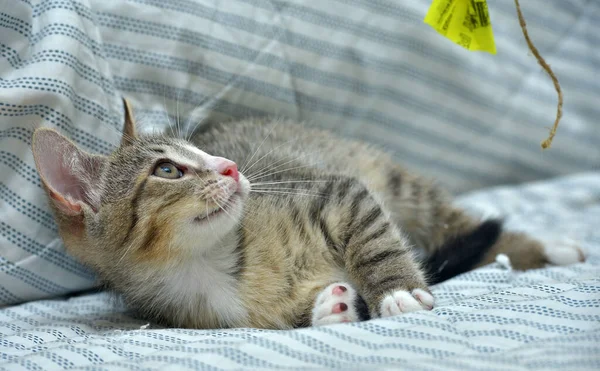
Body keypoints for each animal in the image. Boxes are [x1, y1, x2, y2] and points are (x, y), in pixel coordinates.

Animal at [30, 100, 584, 330]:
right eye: (168, 169)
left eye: (201, 151)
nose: (231, 166)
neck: (208, 263)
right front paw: (329, 308)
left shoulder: (338, 192)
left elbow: (374, 238)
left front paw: (397, 291)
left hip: (396, 182)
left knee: (455, 222)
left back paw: (547, 249)